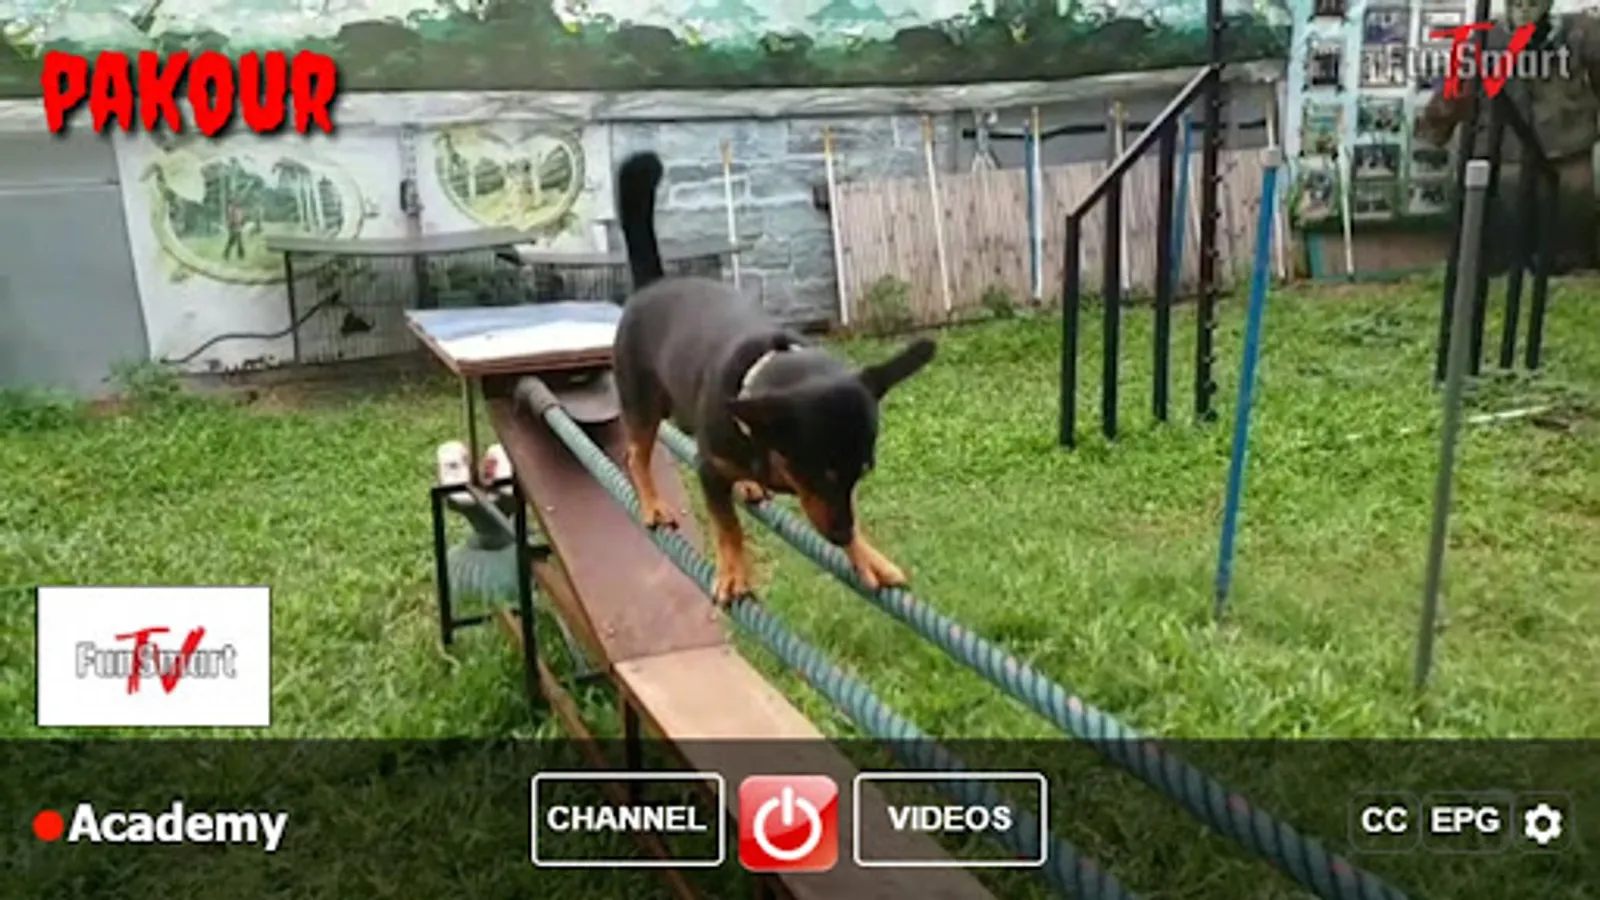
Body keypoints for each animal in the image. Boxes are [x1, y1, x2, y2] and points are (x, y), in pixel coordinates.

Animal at [610, 151, 936, 605]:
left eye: (863, 472)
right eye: (821, 473)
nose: (841, 536)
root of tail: (654, 284)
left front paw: (866, 555)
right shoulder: (709, 471)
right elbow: (727, 526)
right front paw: (734, 573)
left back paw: (748, 485)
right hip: (641, 402)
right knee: (636, 454)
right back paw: (653, 503)